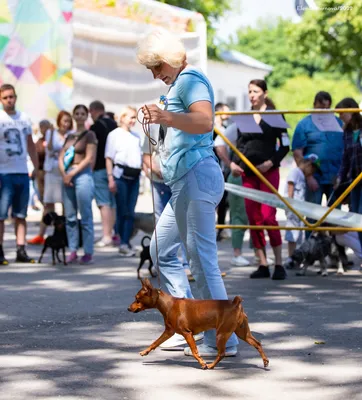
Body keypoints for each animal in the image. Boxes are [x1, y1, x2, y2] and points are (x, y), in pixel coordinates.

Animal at [127, 278, 268, 368]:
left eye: (137, 299)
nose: (128, 308)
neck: (167, 304)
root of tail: (235, 304)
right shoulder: (169, 332)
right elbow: (155, 342)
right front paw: (145, 351)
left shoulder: (187, 333)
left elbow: (195, 352)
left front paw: (202, 363)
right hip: (243, 333)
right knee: (257, 343)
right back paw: (265, 361)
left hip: (222, 334)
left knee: (221, 353)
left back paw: (210, 365)